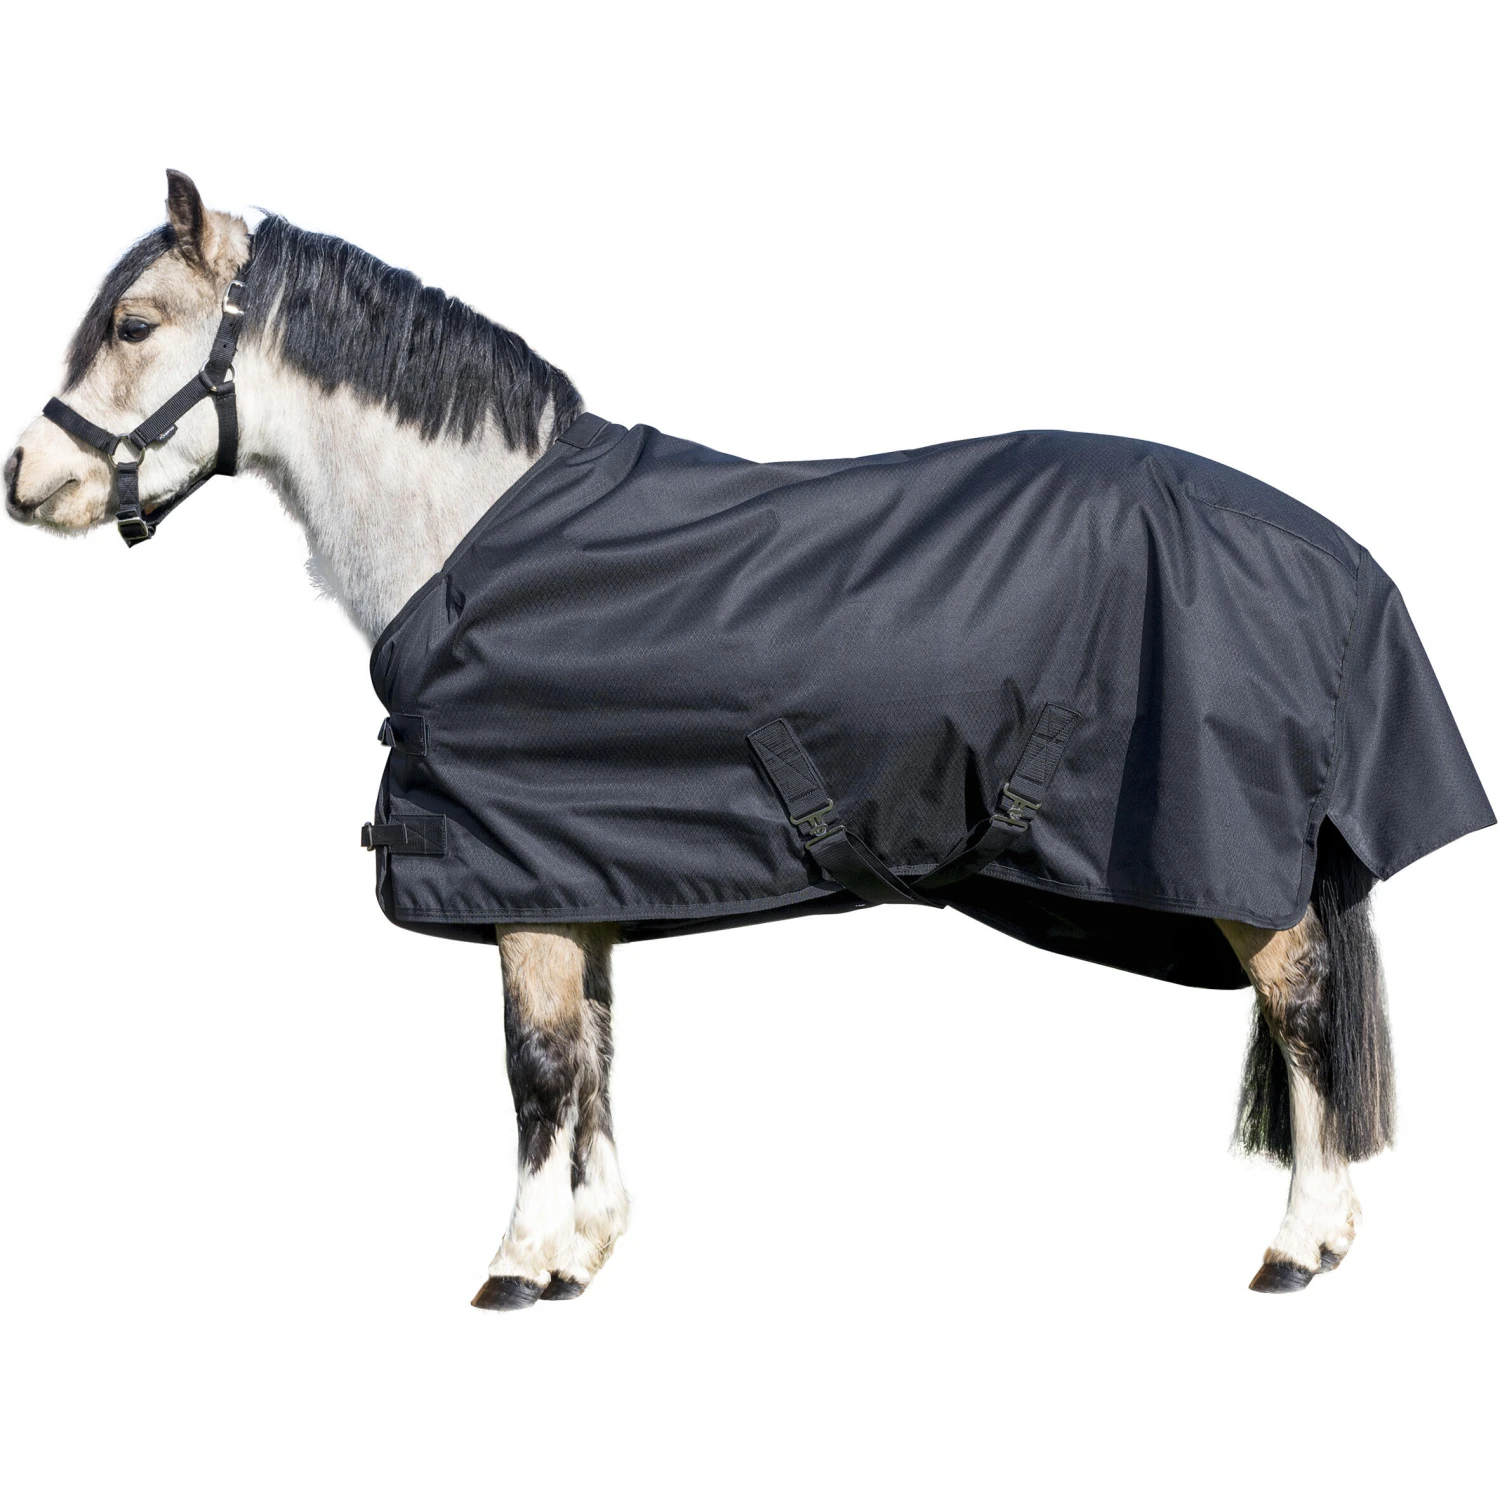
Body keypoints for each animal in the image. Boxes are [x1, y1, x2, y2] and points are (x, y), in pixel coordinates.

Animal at [7, 171, 1490, 1306]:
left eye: (134, 320)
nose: (29, 479)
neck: (476, 540)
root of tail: (1337, 553)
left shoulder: (523, 876)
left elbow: (537, 1069)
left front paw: (518, 1264)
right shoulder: (576, 872)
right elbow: (596, 1057)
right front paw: (586, 1250)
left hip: (1242, 867)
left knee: (1302, 1016)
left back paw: (1300, 1245)